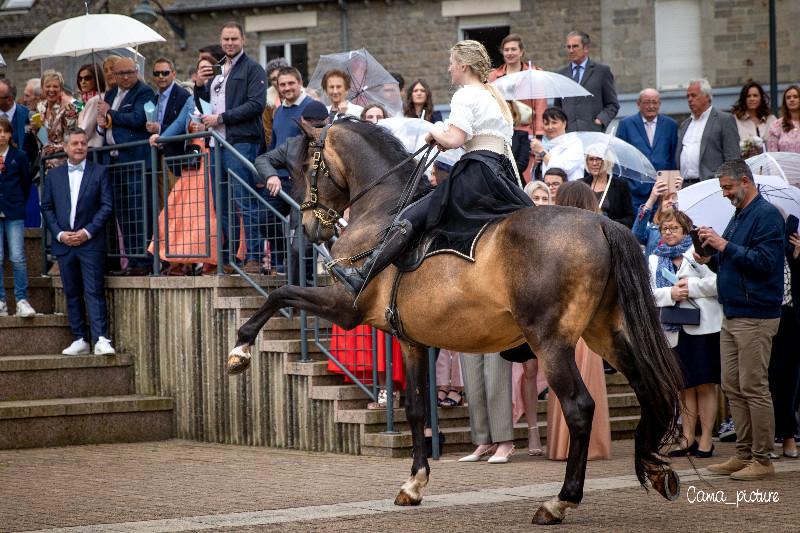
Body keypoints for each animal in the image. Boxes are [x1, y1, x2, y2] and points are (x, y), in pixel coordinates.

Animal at [225, 119, 680, 524]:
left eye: (305, 166)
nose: (308, 227)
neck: (382, 211)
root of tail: (600, 223)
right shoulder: (410, 339)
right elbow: (415, 410)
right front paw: (414, 484)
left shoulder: (344, 307)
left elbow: (280, 294)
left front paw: (240, 350)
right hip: (607, 333)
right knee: (649, 388)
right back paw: (655, 469)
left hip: (551, 343)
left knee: (580, 408)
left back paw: (559, 502)